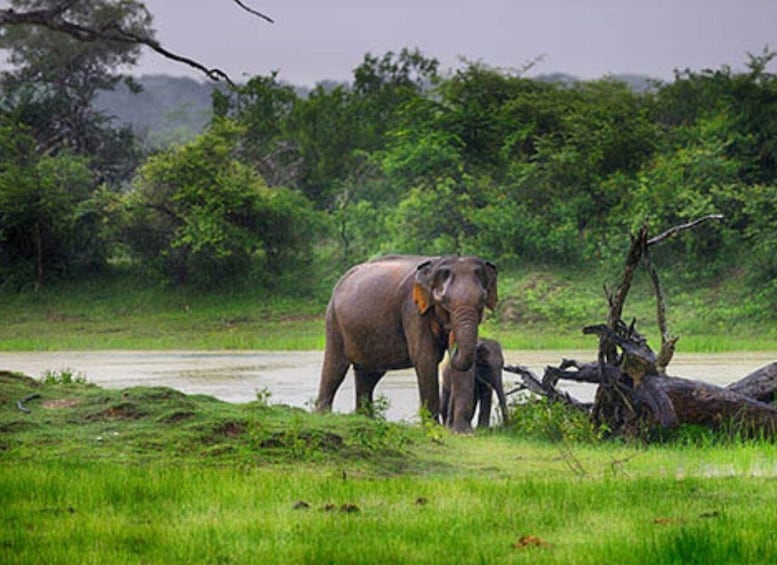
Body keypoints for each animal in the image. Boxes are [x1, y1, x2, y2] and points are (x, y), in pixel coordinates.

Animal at [314, 252, 498, 432]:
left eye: (482, 300)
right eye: (443, 301)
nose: (451, 344)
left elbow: (466, 365)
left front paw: (463, 432)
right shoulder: (413, 309)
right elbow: (425, 358)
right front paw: (433, 428)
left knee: (368, 375)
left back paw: (365, 418)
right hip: (334, 320)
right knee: (336, 367)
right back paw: (323, 414)